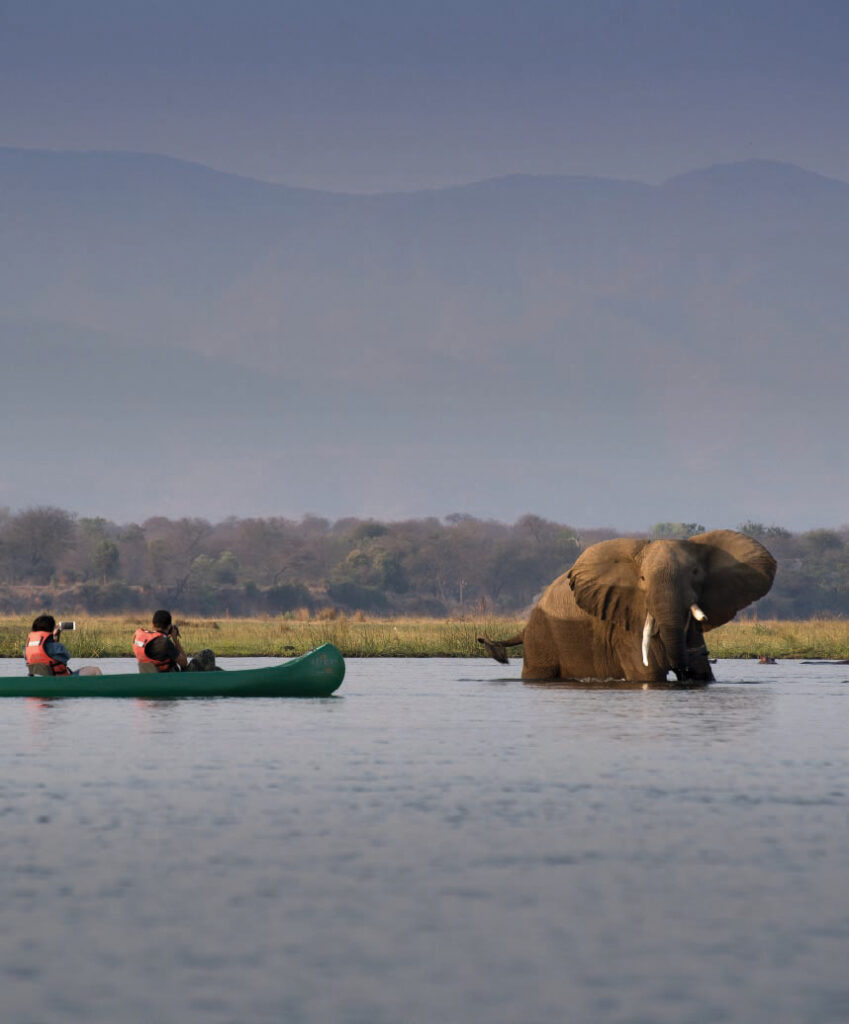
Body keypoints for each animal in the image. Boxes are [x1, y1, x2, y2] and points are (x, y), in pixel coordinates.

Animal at [478, 529, 776, 683]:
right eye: (642, 579)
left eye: (695, 573)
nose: (684, 670)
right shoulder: (624, 622)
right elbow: (648, 674)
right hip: (542, 636)